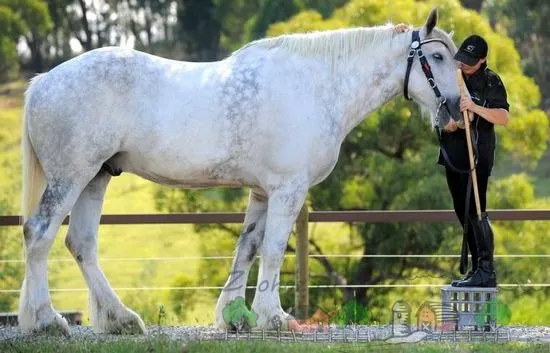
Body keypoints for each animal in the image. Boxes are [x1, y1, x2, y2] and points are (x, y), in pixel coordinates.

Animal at [19, 7, 462, 332]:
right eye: (438, 57)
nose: (457, 110)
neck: (316, 86)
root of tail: (41, 83)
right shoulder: (287, 189)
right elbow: (273, 249)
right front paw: (275, 317)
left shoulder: (263, 192)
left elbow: (247, 248)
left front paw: (236, 317)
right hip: (71, 177)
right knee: (39, 234)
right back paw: (47, 322)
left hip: (95, 177)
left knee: (81, 244)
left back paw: (121, 320)